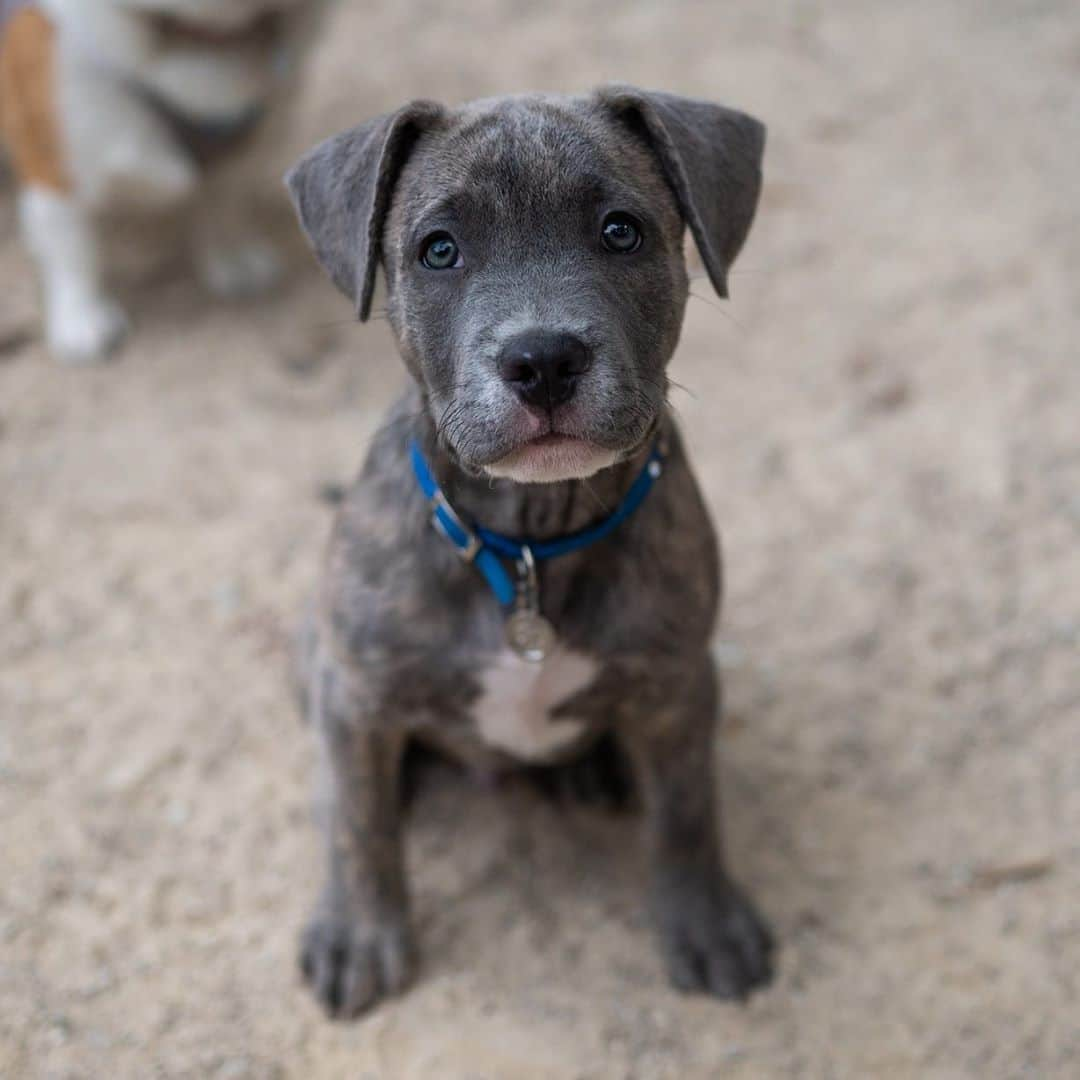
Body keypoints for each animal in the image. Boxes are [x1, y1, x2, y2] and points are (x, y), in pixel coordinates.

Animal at [0, 0, 324, 362]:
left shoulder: (235, 157)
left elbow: (223, 203)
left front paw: (232, 257)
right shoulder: (54, 169)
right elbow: (73, 249)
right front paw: (82, 316)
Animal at [287, 86, 777, 1019]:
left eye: (621, 231)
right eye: (439, 250)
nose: (542, 359)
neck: (529, 542)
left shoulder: (680, 683)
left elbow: (687, 810)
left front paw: (705, 921)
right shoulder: (360, 692)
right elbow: (360, 823)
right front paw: (360, 931)